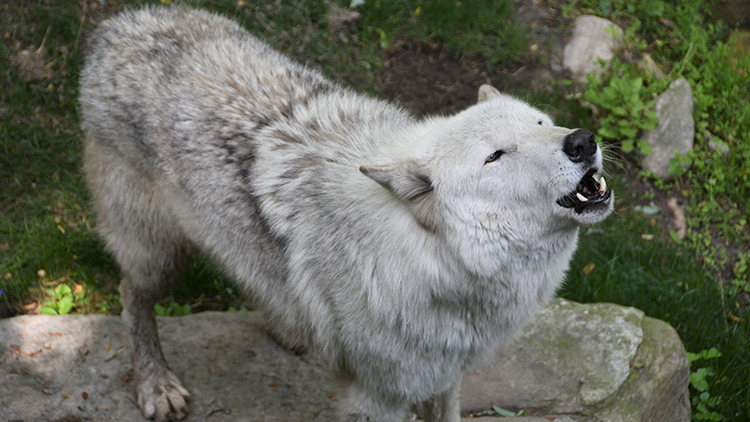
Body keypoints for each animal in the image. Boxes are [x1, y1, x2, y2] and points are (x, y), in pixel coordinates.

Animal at [79, 5, 613, 422]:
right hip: (158, 255)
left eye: (541, 122)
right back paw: (155, 385)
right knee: (131, 295)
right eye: (495, 156)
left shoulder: (443, 375)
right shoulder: (379, 398)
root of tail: (120, 25)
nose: (582, 141)